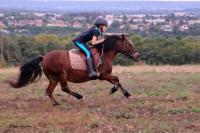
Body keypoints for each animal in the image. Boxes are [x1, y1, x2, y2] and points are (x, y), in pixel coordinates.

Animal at [9, 34, 139, 106]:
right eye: (130, 44)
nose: (137, 55)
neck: (105, 54)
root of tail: (44, 57)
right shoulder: (102, 75)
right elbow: (117, 79)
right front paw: (113, 90)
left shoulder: (105, 75)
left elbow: (117, 80)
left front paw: (127, 95)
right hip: (62, 75)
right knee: (64, 88)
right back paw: (80, 97)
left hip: (54, 78)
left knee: (49, 91)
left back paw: (56, 103)